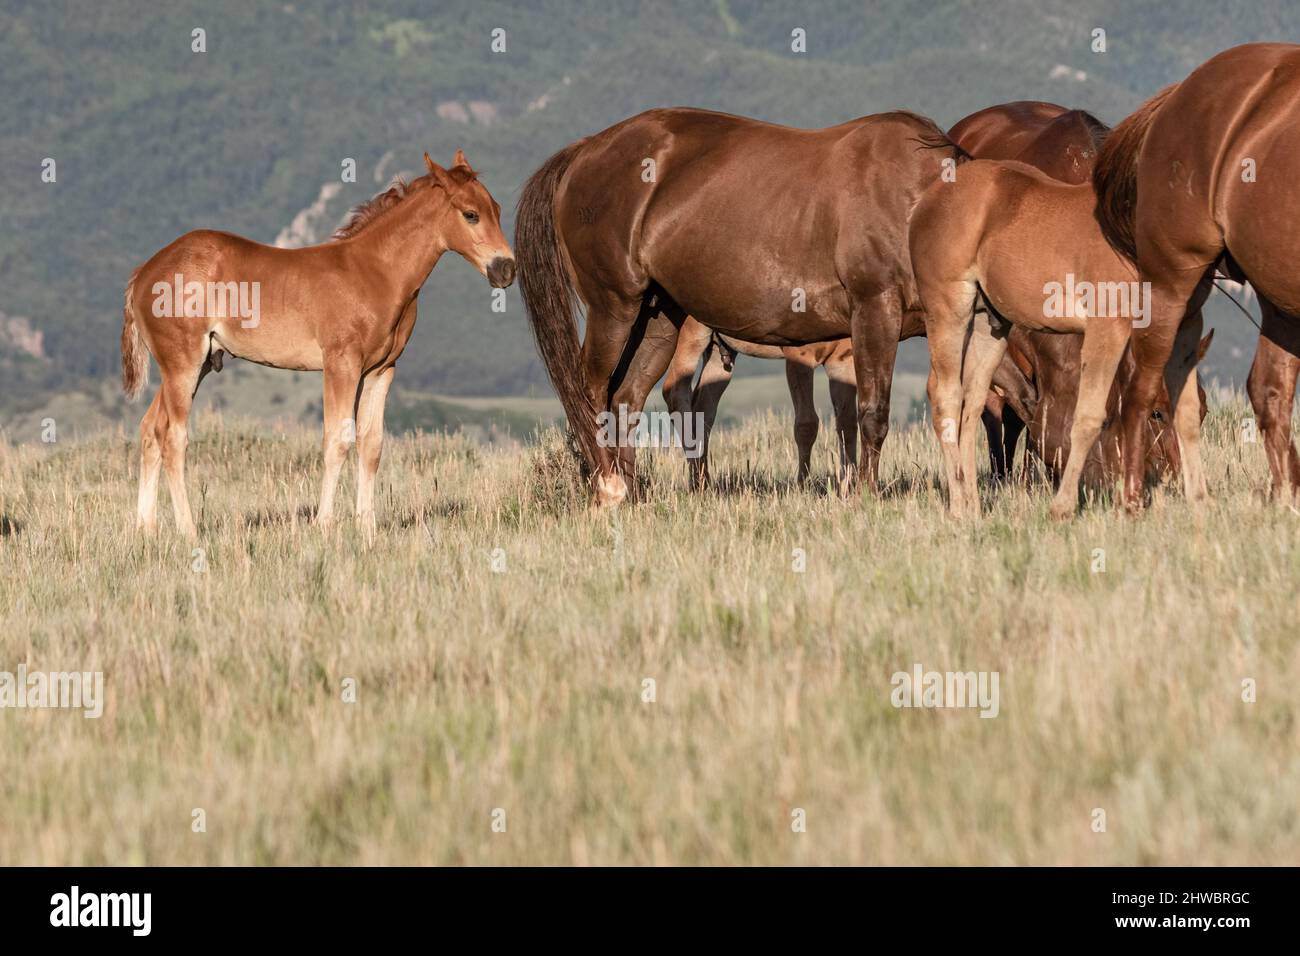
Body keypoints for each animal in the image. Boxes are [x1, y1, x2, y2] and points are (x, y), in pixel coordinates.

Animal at [121, 150, 515, 538]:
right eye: (470, 214)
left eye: (496, 208)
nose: (507, 270)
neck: (374, 273)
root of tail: (143, 273)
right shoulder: (341, 364)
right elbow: (337, 440)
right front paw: (325, 525)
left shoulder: (381, 370)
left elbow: (371, 444)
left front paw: (367, 528)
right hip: (182, 364)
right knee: (173, 438)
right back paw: (188, 531)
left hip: (195, 365)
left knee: (150, 429)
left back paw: (146, 528)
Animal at [515, 107, 961, 507]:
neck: (913, 201)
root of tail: (586, 149)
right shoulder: (874, 313)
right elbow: (872, 414)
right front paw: (865, 496)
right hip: (614, 308)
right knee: (591, 393)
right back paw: (608, 490)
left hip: (658, 318)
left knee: (628, 397)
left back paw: (636, 494)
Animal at [1092, 43, 1300, 508]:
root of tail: (1178, 94)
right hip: (1172, 282)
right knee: (1142, 387)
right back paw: (1131, 500)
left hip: (1274, 298)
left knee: (1267, 391)